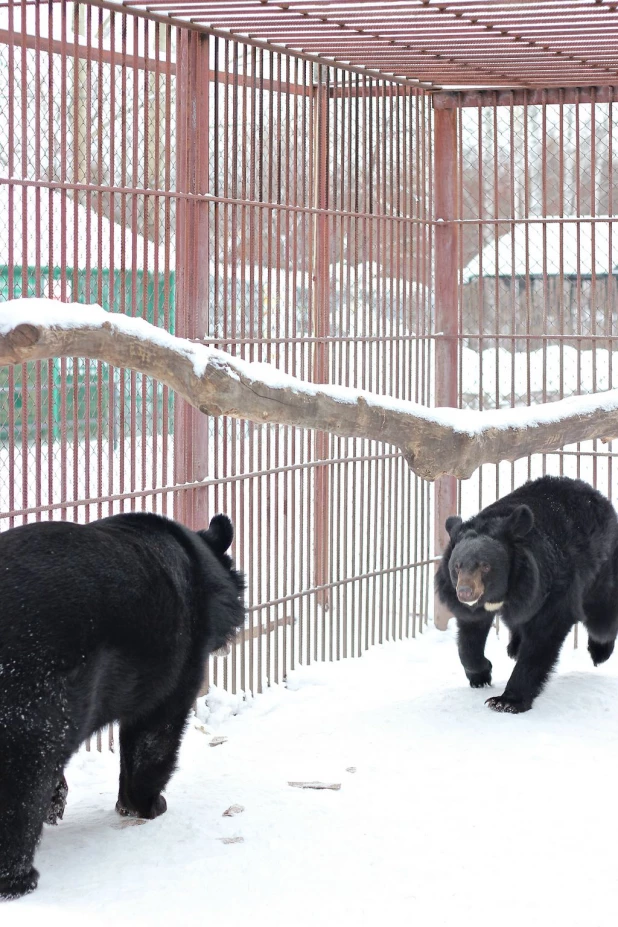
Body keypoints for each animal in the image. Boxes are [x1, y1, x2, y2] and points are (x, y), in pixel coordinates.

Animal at [0, 512, 245, 904]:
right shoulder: (177, 662)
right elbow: (154, 737)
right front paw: (148, 805)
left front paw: (57, 801)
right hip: (32, 686)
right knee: (21, 781)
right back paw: (18, 879)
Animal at [434, 474, 616, 716]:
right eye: (457, 566)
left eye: (485, 566)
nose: (465, 592)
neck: (500, 595)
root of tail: (598, 495)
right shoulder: (478, 607)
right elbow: (469, 638)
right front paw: (481, 675)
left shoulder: (551, 590)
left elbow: (542, 639)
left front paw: (506, 701)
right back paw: (514, 647)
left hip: (600, 572)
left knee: (602, 622)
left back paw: (599, 652)